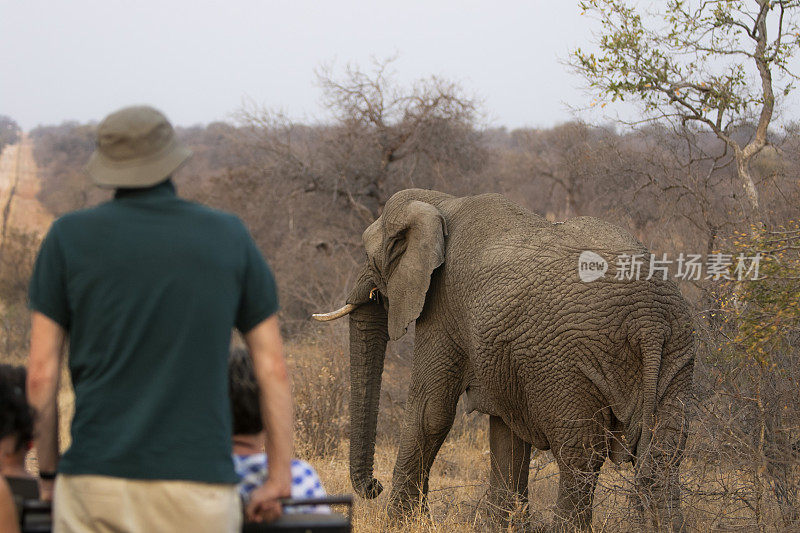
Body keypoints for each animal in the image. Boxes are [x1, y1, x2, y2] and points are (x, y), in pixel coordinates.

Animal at [312, 189, 692, 528]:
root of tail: (648, 319)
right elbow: (505, 430)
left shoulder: (443, 304)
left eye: (372, 257)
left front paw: (398, 523)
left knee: (580, 455)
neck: (440, 203)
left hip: (567, 365)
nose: (373, 486)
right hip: (677, 351)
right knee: (664, 454)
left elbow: (429, 412)